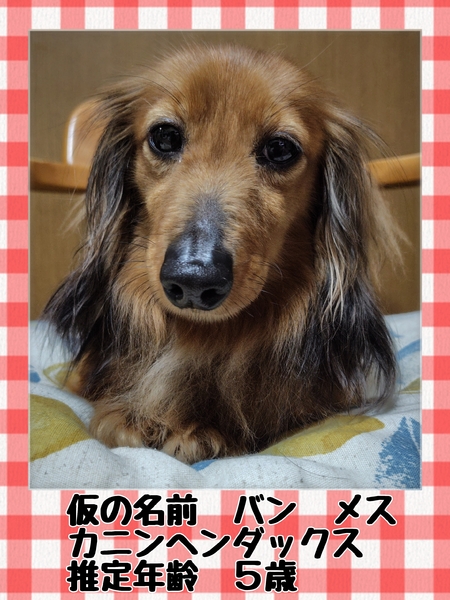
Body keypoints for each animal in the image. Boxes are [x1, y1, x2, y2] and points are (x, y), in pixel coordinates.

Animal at [44, 44, 400, 464]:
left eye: (280, 149)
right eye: (165, 136)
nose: (194, 280)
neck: (201, 337)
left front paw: (202, 426)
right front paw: (131, 415)